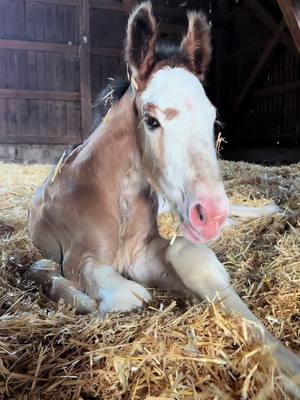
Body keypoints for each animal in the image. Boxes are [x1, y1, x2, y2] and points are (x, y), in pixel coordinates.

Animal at [26, 1, 300, 396]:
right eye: (151, 120)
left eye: (213, 119)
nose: (210, 214)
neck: (115, 198)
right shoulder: (79, 258)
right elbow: (120, 292)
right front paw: (83, 300)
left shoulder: (150, 251)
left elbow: (190, 255)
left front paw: (287, 367)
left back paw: (276, 209)